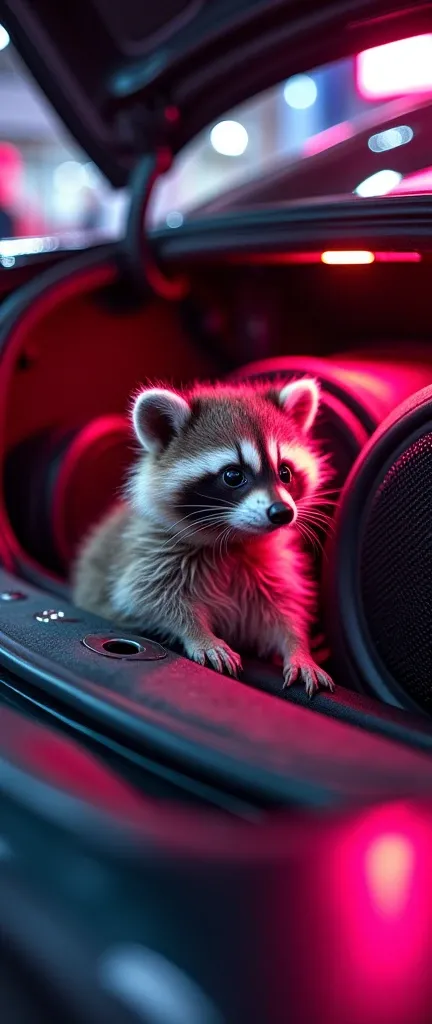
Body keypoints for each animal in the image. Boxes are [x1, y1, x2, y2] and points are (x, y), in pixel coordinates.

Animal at [72, 380, 333, 700]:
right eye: (233, 475)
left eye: (285, 472)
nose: (282, 513)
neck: (235, 538)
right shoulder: (151, 553)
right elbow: (148, 597)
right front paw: (199, 634)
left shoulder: (268, 569)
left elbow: (282, 612)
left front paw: (299, 648)